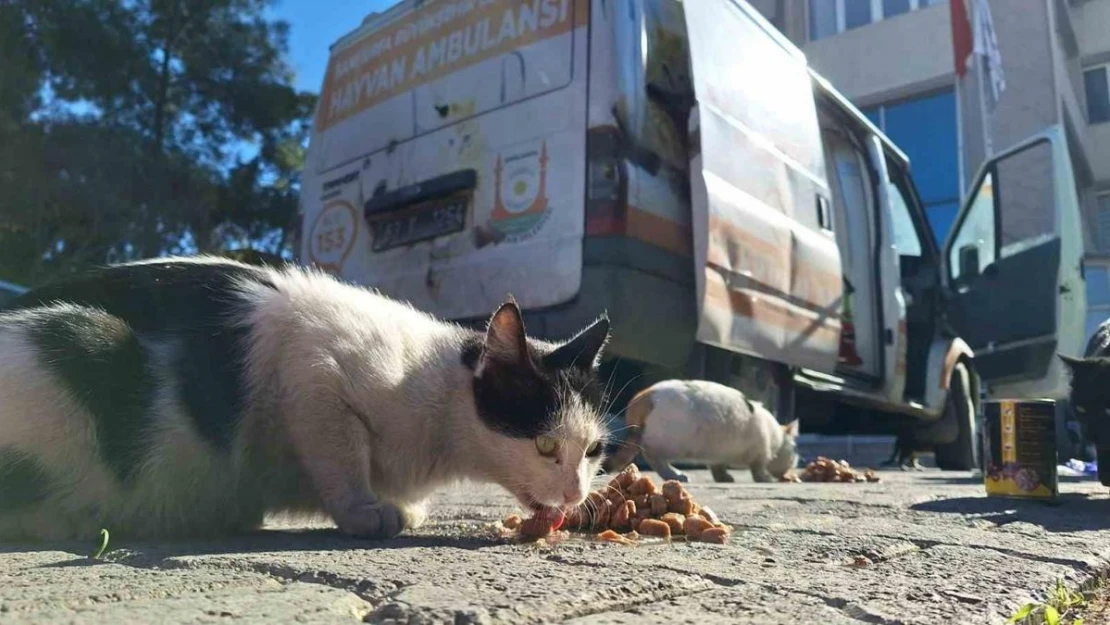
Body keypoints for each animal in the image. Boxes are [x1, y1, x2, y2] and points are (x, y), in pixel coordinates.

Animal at [0, 256, 617, 539]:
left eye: (592, 452)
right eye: (544, 445)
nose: (575, 493)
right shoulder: (312, 371)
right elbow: (341, 457)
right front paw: (366, 510)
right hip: (85, 340)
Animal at [603, 377, 794, 484]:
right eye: (795, 450)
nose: (792, 466)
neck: (777, 436)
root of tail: (644, 397)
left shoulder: (717, 454)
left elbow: (717, 466)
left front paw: (723, 477)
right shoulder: (761, 451)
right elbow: (758, 467)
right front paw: (765, 478)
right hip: (670, 442)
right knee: (652, 456)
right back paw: (676, 475)